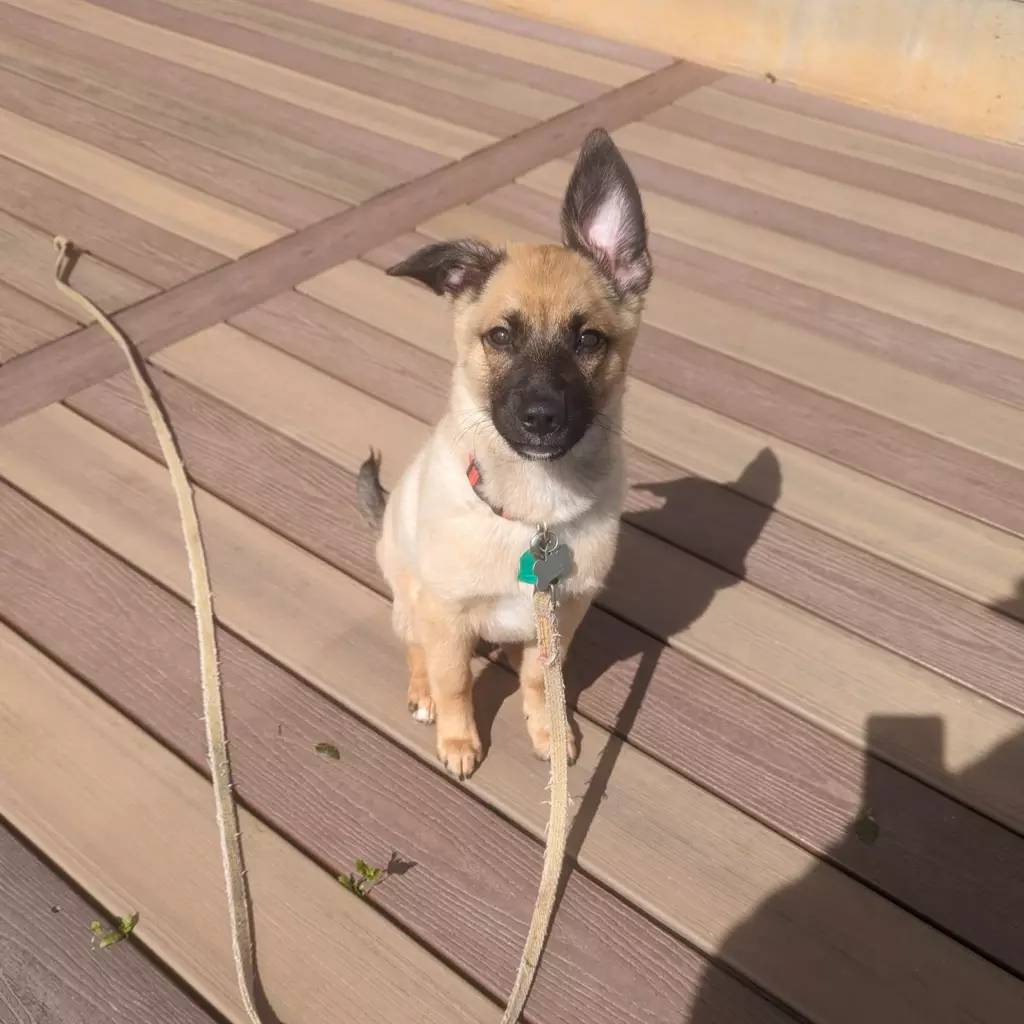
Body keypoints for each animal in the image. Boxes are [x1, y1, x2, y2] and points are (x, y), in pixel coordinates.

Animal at [356, 132, 651, 778]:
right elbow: (454, 681)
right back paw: (422, 695)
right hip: (409, 597)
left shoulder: (561, 616)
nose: (541, 417)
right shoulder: (445, 614)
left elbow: (542, 681)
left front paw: (548, 731)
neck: (534, 513)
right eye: (499, 337)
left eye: (588, 340)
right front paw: (459, 740)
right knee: (416, 649)